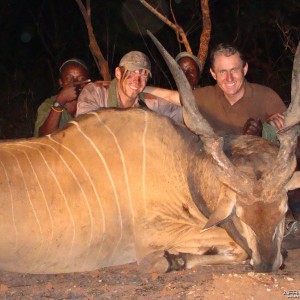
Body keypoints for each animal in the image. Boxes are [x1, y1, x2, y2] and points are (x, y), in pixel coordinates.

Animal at [0, 35, 298, 274]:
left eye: (283, 212)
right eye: (240, 215)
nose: (268, 264)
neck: (184, 164)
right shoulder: (154, 234)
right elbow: (236, 247)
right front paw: (171, 260)